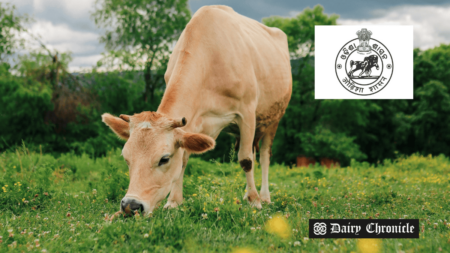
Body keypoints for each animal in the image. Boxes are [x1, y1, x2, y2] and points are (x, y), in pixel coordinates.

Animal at [100, 5, 294, 215]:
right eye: (126, 158)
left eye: (164, 159)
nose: (130, 206)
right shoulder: (191, 122)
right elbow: (184, 159)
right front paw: (174, 201)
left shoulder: (247, 113)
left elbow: (246, 160)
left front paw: (254, 201)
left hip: (273, 118)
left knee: (264, 155)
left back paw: (264, 197)